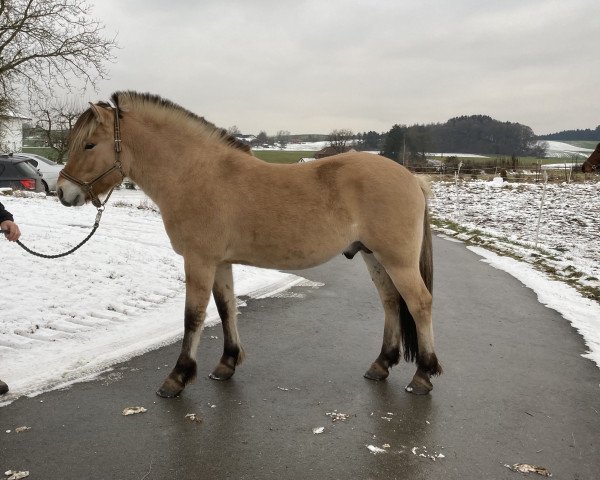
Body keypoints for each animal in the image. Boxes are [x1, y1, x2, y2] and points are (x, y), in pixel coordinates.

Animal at [55, 91, 440, 398]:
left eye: (89, 144)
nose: (62, 192)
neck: (194, 174)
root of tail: (412, 178)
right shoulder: (221, 262)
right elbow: (226, 308)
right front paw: (227, 363)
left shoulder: (199, 260)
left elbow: (193, 317)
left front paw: (178, 377)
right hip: (375, 258)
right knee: (391, 303)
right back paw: (381, 365)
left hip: (398, 261)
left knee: (419, 304)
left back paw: (423, 375)